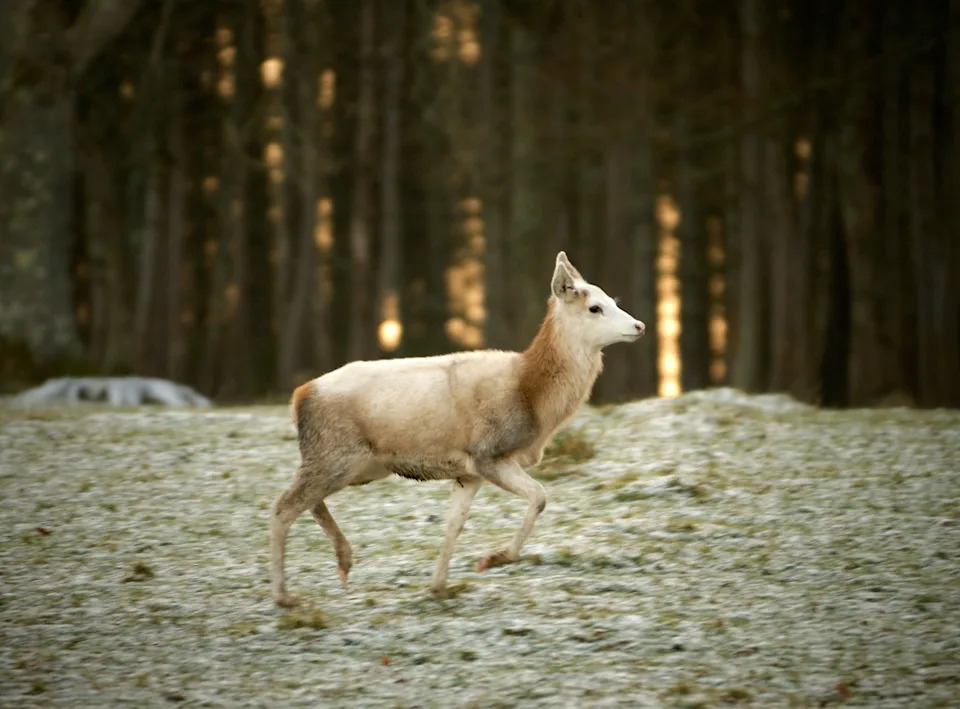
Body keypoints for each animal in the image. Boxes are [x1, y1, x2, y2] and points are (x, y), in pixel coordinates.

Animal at [270, 252, 645, 607]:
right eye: (594, 307)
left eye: (613, 299)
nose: (639, 325)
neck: (532, 397)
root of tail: (299, 397)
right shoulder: (488, 453)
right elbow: (539, 496)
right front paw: (494, 559)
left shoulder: (468, 472)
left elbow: (454, 524)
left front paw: (438, 587)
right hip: (335, 453)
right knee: (283, 506)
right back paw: (285, 596)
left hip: (356, 464)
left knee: (309, 502)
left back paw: (344, 561)